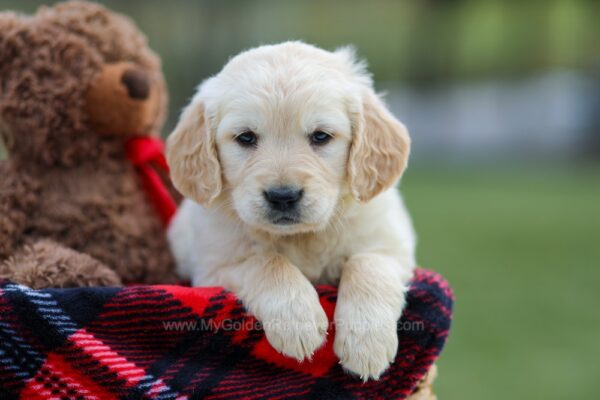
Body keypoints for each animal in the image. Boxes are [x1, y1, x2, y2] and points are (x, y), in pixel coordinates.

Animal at [166, 41, 414, 382]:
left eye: (321, 136)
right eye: (246, 137)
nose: (282, 196)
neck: (301, 237)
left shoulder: (393, 246)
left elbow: (367, 264)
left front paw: (367, 344)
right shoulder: (214, 267)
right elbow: (266, 262)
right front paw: (298, 322)